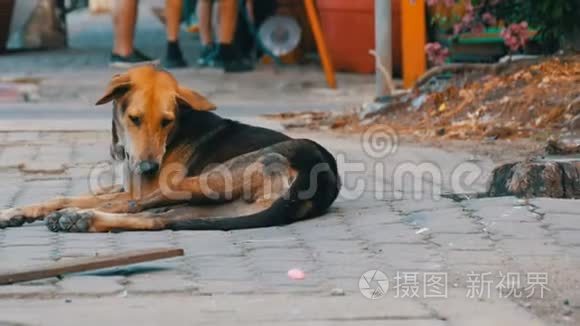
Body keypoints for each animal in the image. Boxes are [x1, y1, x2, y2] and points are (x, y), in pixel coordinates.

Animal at [0, 65, 340, 232]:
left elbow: (111, 199)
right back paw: (83, 221)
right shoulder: (126, 183)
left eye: (167, 121)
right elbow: (61, 195)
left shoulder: (138, 188)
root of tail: (320, 175)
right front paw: (16, 212)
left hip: (200, 181)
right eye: (135, 119)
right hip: (216, 207)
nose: (149, 168)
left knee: (137, 206)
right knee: (161, 220)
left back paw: (79, 217)